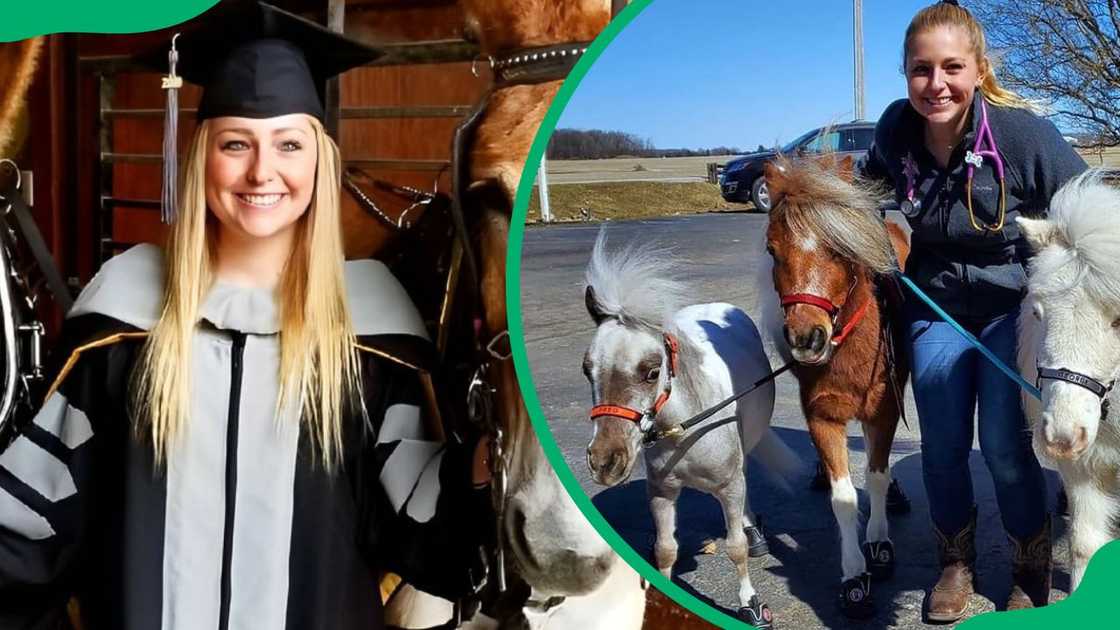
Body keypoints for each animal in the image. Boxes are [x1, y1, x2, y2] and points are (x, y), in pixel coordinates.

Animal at [582, 230, 801, 627]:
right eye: (587, 368)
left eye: (652, 371)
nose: (605, 462)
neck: (684, 431)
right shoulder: (661, 492)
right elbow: (665, 550)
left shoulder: (729, 485)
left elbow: (736, 547)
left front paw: (752, 604)